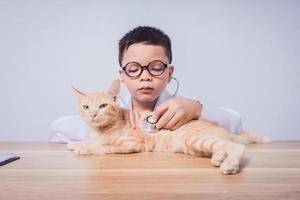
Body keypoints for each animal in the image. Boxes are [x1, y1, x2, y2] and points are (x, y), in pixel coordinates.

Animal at [68, 79, 272, 173]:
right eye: (86, 107)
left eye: (103, 106)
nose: (93, 115)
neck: (99, 130)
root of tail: (225, 130)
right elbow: (91, 141)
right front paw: (75, 143)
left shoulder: (131, 144)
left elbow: (104, 146)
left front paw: (84, 147)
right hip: (194, 147)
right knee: (222, 147)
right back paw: (219, 157)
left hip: (195, 139)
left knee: (237, 146)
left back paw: (229, 164)